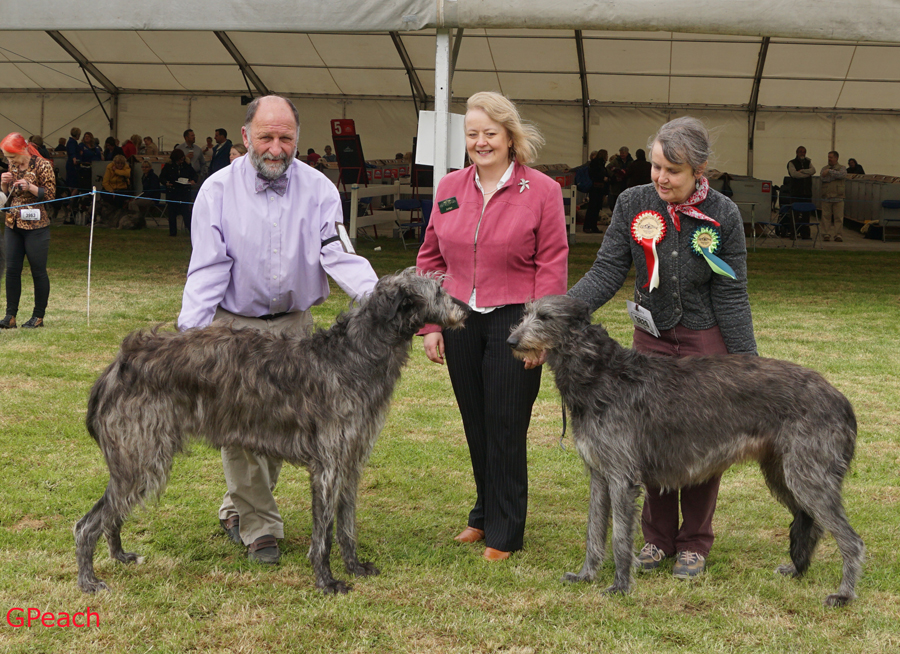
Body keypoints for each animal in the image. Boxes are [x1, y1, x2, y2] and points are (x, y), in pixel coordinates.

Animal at [76, 270, 468, 596]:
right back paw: (89, 581)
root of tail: (118, 365)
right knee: (86, 524)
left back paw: (120, 556)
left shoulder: (350, 461)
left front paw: (355, 567)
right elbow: (324, 534)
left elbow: (346, 525)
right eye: (438, 291)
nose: (467, 309)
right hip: (142, 458)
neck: (352, 357)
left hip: (137, 459)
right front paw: (326, 581)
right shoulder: (327, 467)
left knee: (109, 515)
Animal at [506, 294, 864, 608]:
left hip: (807, 475)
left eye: (545, 317)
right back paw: (798, 570)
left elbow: (620, 538)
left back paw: (844, 595)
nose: (511, 340)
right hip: (783, 474)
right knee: (810, 521)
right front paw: (585, 575)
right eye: (525, 313)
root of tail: (841, 399)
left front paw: (621, 586)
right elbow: (593, 531)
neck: (600, 374)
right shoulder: (599, 473)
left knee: (851, 540)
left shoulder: (622, 476)